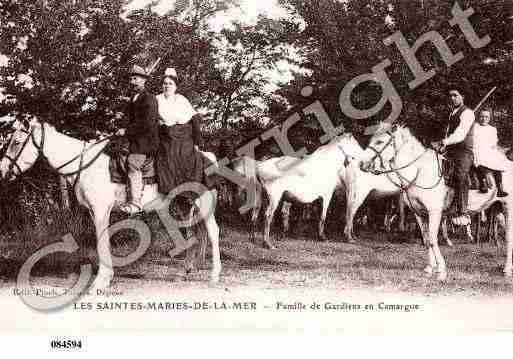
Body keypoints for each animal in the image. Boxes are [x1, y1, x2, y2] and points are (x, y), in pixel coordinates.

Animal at [0, 121, 221, 290]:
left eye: (16, 143)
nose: (3, 171)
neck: (85, 164)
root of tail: (209, 156)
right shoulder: (94, 211)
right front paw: (106, 277)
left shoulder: (100, 210)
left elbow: (101, 241)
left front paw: (101, 281)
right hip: (185, 205)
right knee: (192, 234)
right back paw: (185, 271)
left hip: (203, 203)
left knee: (212, 232)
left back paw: (214, 275)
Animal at [360, 125, 512, 280]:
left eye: (380, 141)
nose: (362, 164)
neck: (421, 171)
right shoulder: (420, 214)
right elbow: (427, 239)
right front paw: (429, 268)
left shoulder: (434, 212)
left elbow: (433, 239)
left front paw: (441, 271)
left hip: (508, 207)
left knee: (508, 238)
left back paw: (506, 269)